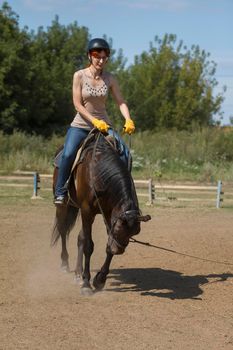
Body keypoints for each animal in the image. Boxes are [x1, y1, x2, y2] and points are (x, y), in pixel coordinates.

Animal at [51, 130, 151, 294]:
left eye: (134, 233)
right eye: (118, 230)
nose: (119, 250)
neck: (98, 173)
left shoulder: (109, 214)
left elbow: (106, 247)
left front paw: (99, 279)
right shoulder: (87, 211)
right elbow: (88, 245)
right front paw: (86, 283)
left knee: (79, 237)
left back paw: (78, 274)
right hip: (64, 205)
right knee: (63, 230)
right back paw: (65, 264)